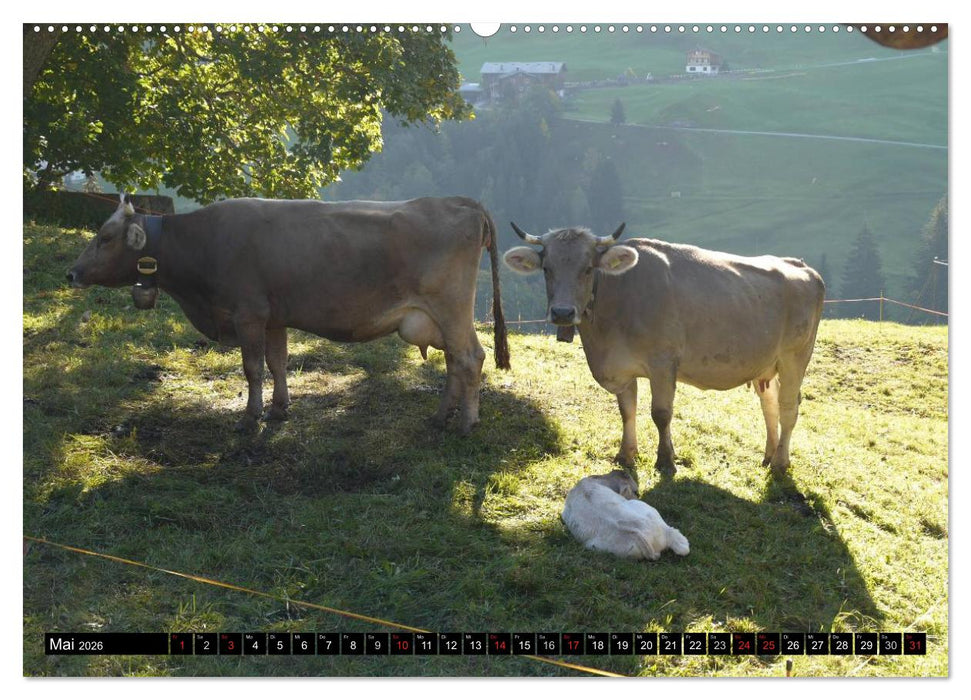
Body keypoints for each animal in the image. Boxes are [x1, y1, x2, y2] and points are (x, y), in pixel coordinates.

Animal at [67, 194, 510, 434]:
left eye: (104, 237)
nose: (72, 272)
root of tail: (457, 200)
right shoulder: (274, 316)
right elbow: (277, 362)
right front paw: (280, 408)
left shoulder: (247, 314)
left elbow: (252, 368)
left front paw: (250, 417)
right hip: (442, 316)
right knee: (455, 360)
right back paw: (441, 416)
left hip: (450, 307)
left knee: (470, 358)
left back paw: (466, 423)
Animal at [503, 222, 824, 477]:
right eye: (547, 269)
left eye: (587, 268)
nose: (562, 313)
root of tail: (801, 265)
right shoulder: (622, 367)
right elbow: (626, 410)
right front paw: (626, 455)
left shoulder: (662, 362)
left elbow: (661, 413)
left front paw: (666, 460)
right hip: (765, 364)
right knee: (769, 405)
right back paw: (769, 456)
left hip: (795, 357)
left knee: (788, 407)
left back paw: (781, 463)